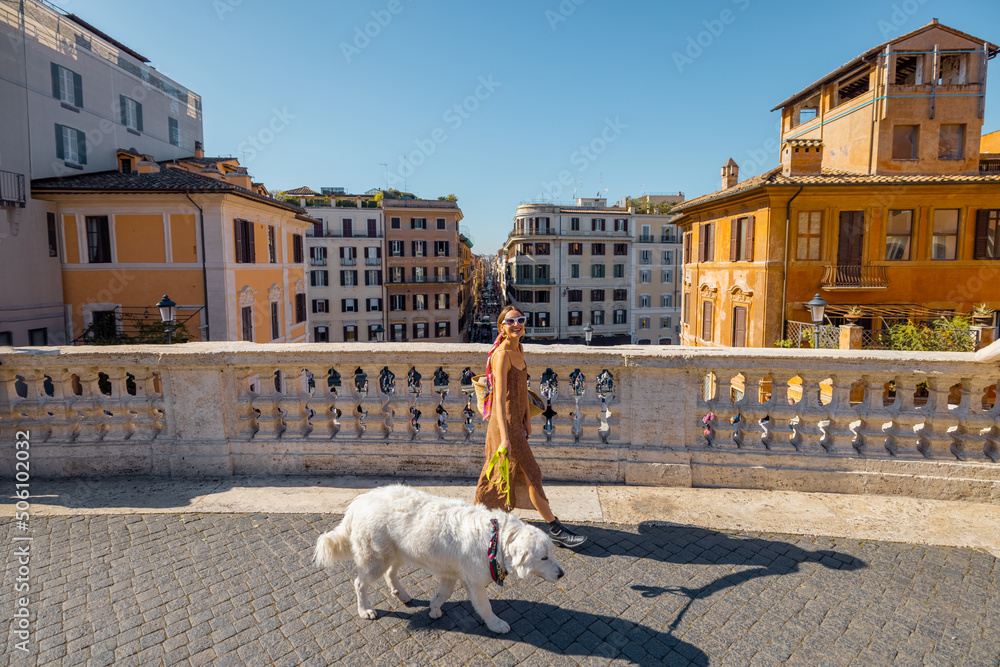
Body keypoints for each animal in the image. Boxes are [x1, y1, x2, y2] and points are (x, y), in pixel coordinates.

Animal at [312, 486, 564, 632]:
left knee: (390, 574)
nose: (562, 574)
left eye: (552, 554)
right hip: (375, 560)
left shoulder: (450, 574)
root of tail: (359, 502)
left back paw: (402, 594)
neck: (496, 539)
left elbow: (443, 594)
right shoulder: (473, 582)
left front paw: (433, 608)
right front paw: (496, 624)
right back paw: (365, 609)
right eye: (544, 557)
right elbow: (484, 606)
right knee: (360, 583)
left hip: (396, 553)